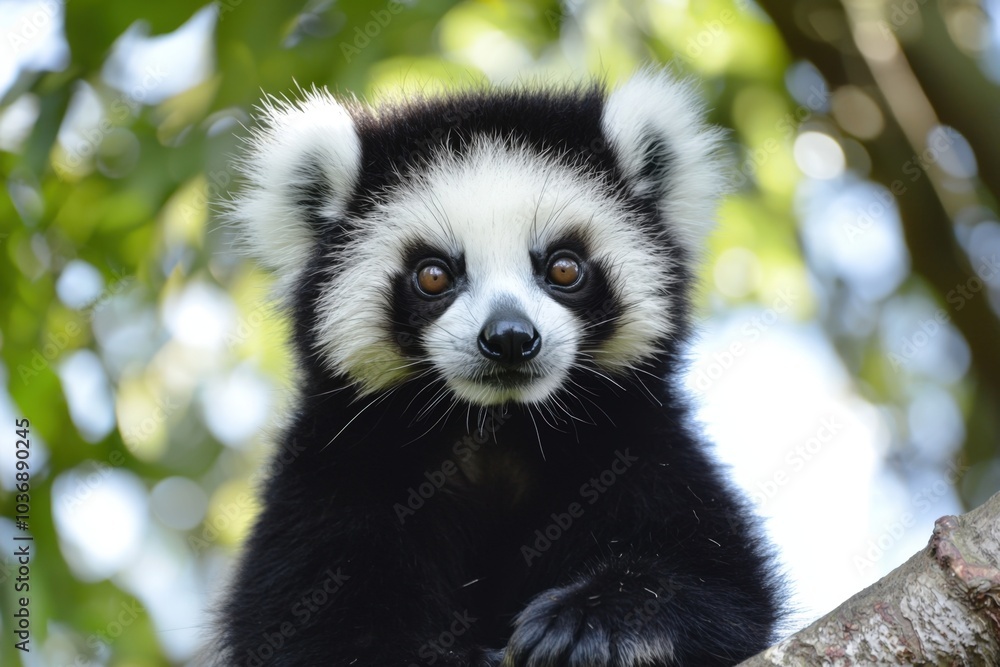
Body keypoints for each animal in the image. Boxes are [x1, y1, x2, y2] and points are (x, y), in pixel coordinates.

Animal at [214, 69, 783, 666]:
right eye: (434, 275)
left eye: (563, 268)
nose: (510, 338)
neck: (498, 427)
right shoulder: (332, 478)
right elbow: (312, 630)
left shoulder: (643, 452)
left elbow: (723, 590)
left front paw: (592, 620)